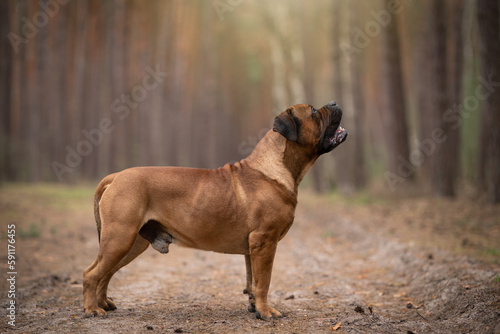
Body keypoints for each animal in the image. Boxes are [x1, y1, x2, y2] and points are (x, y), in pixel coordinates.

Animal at [83, 101, 348, 320]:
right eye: (313, 111)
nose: (335, 102)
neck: (276, 167)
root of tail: (116, 176)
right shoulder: (265, 241)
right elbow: (264, 281)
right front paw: (265, 312)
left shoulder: (252, 248)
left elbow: (252, 281)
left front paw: (254, 307)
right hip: (120, 237)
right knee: (91, 273)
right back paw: (92, 310)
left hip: (131, 243)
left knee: (105, 273)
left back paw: (104, 303)